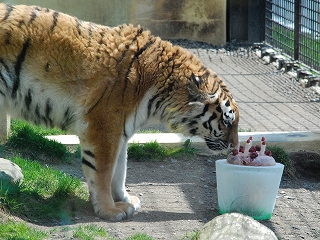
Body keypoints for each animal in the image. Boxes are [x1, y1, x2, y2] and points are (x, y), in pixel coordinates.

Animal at [0, 3, 239, 221]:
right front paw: (109, 210)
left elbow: (120, 170)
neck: (158, 91)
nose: (235, 146)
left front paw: (124, 199)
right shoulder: (104, 128)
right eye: (227, 122)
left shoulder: (121, 129)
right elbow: (104, 172)